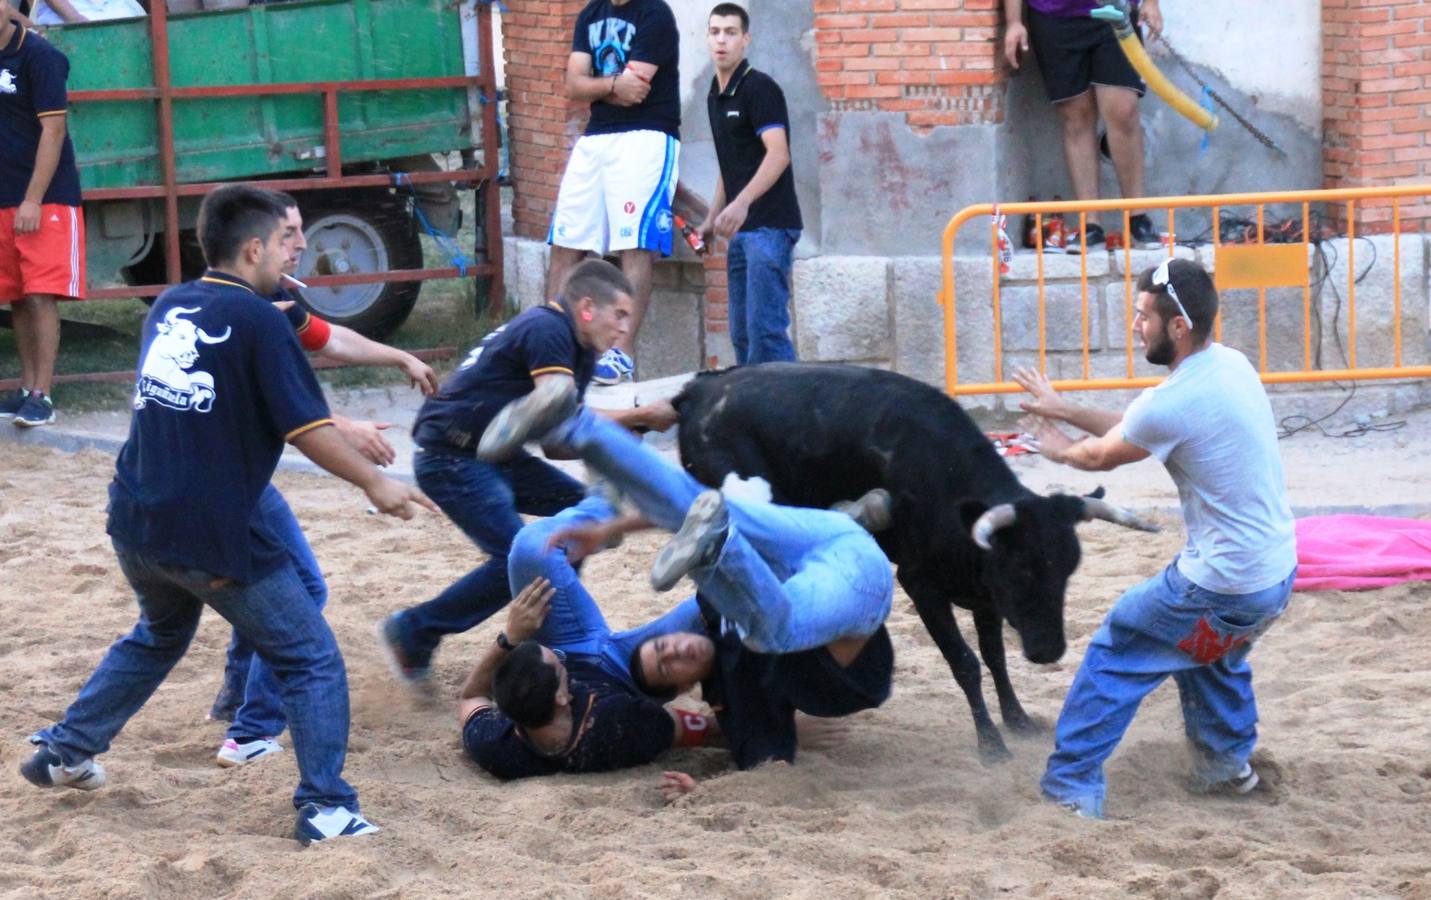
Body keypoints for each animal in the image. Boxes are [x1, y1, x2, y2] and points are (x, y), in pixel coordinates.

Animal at [666, 362, 1150, 761]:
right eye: (1020, 568)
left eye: (1068, 571)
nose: (1048, 650)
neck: (946, 486)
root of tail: (700, 390)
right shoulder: (922, 586)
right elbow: (966, 663)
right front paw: (991, 745)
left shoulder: (984, 594)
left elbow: (995, 656)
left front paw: (1018, 721)